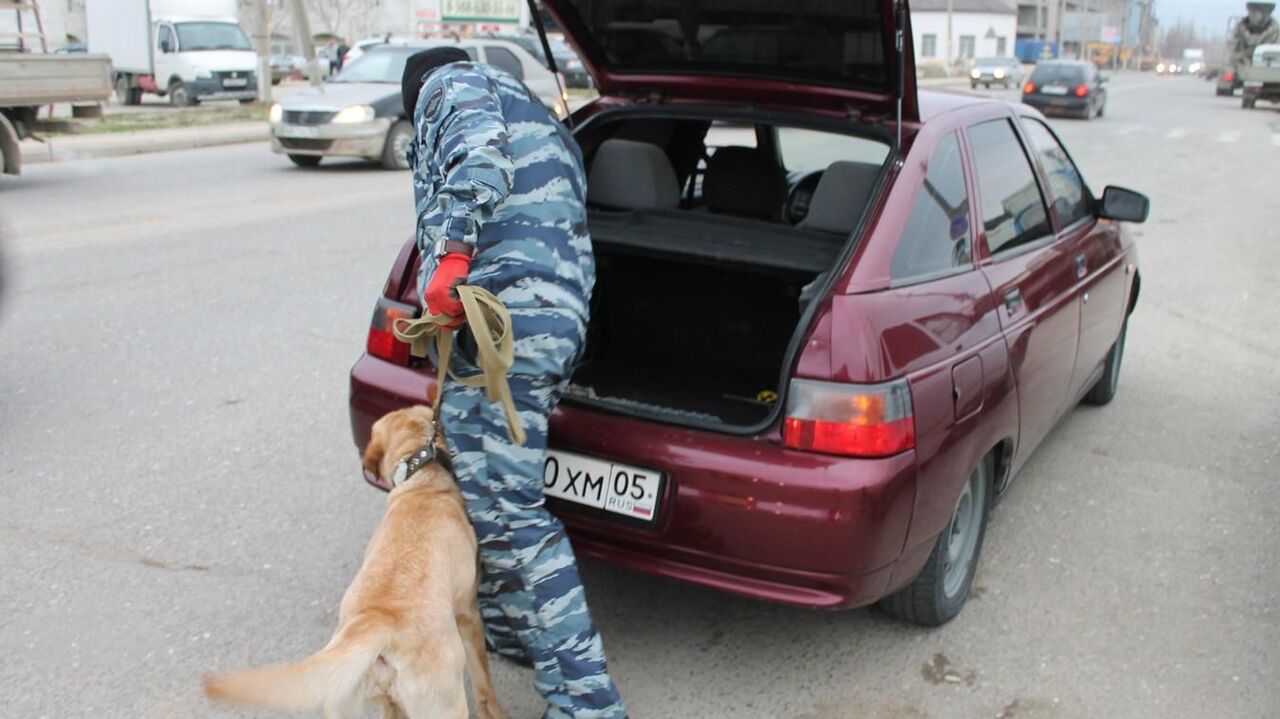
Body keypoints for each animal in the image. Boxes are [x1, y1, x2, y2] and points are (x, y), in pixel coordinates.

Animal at [204, 406, 509, 711]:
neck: (423, 483)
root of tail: (378, 619)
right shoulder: (468, 613)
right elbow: (485, 687)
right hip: (444, 701)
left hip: (344, 700)